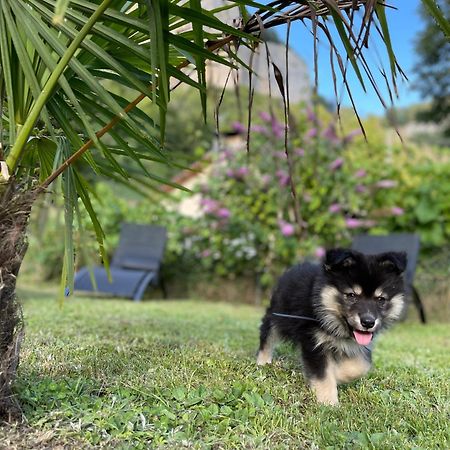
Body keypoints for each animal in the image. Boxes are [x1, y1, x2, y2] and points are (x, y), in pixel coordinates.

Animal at [256, 248, 408, 406]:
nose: (368, 322)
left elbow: (361, 366)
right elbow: (324, 373)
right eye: (351, 295)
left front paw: (339, 375)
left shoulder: (360, 346)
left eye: (381, 299)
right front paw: (328, 402)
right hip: (277, 315)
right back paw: (263, 362)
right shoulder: (314, 342)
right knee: (267, 336)